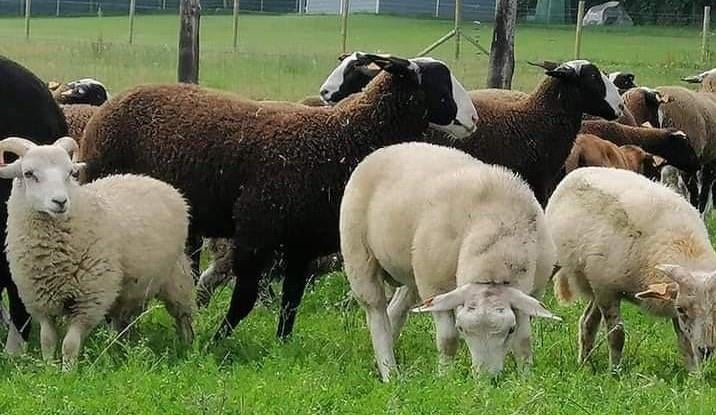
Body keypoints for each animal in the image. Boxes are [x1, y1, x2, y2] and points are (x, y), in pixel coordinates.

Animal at [0, 136, 194, 369]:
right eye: (29, 173)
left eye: (70, 173)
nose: (60, 202)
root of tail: (150, 179)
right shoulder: (40, 302)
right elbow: (47, 340)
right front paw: (49, 369)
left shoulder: (89, 301)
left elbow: (69, 345)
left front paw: (68, 372)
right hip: (128, 290)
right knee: (122, 322)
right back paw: (119, 351)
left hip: (176, 276)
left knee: (183, 316)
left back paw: (189, 348)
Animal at [81, 52, 478, 340]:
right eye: (440, 82)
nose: (473, 119)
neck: (341, 138)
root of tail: (109, 107)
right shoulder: (257, 233)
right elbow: (245, 299)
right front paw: (217, 342)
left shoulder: (301, 243)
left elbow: (291, 302)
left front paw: (281, 345)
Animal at [341, 142, 559, 381]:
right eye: (462, 328)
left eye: (509, 330)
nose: (486, 380)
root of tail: (388, 148)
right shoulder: (435, 287)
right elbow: (448, 340)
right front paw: (444, 377)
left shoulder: (531, 295)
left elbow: (523, 341)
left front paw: (526, 379)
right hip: (359, 255)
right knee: (376, 313)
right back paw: (390, 373)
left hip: (412, 271)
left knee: (397, 309)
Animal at [547, 167, 716, 372]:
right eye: (682, 309)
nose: (706, 350)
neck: (683, 245)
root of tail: (581, 170)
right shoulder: (608, 291)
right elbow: (617, 335)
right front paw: (615, 372)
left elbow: (684, 341)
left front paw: (694, 374)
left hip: (594, 284)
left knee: (587, 322)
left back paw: (585, 365)